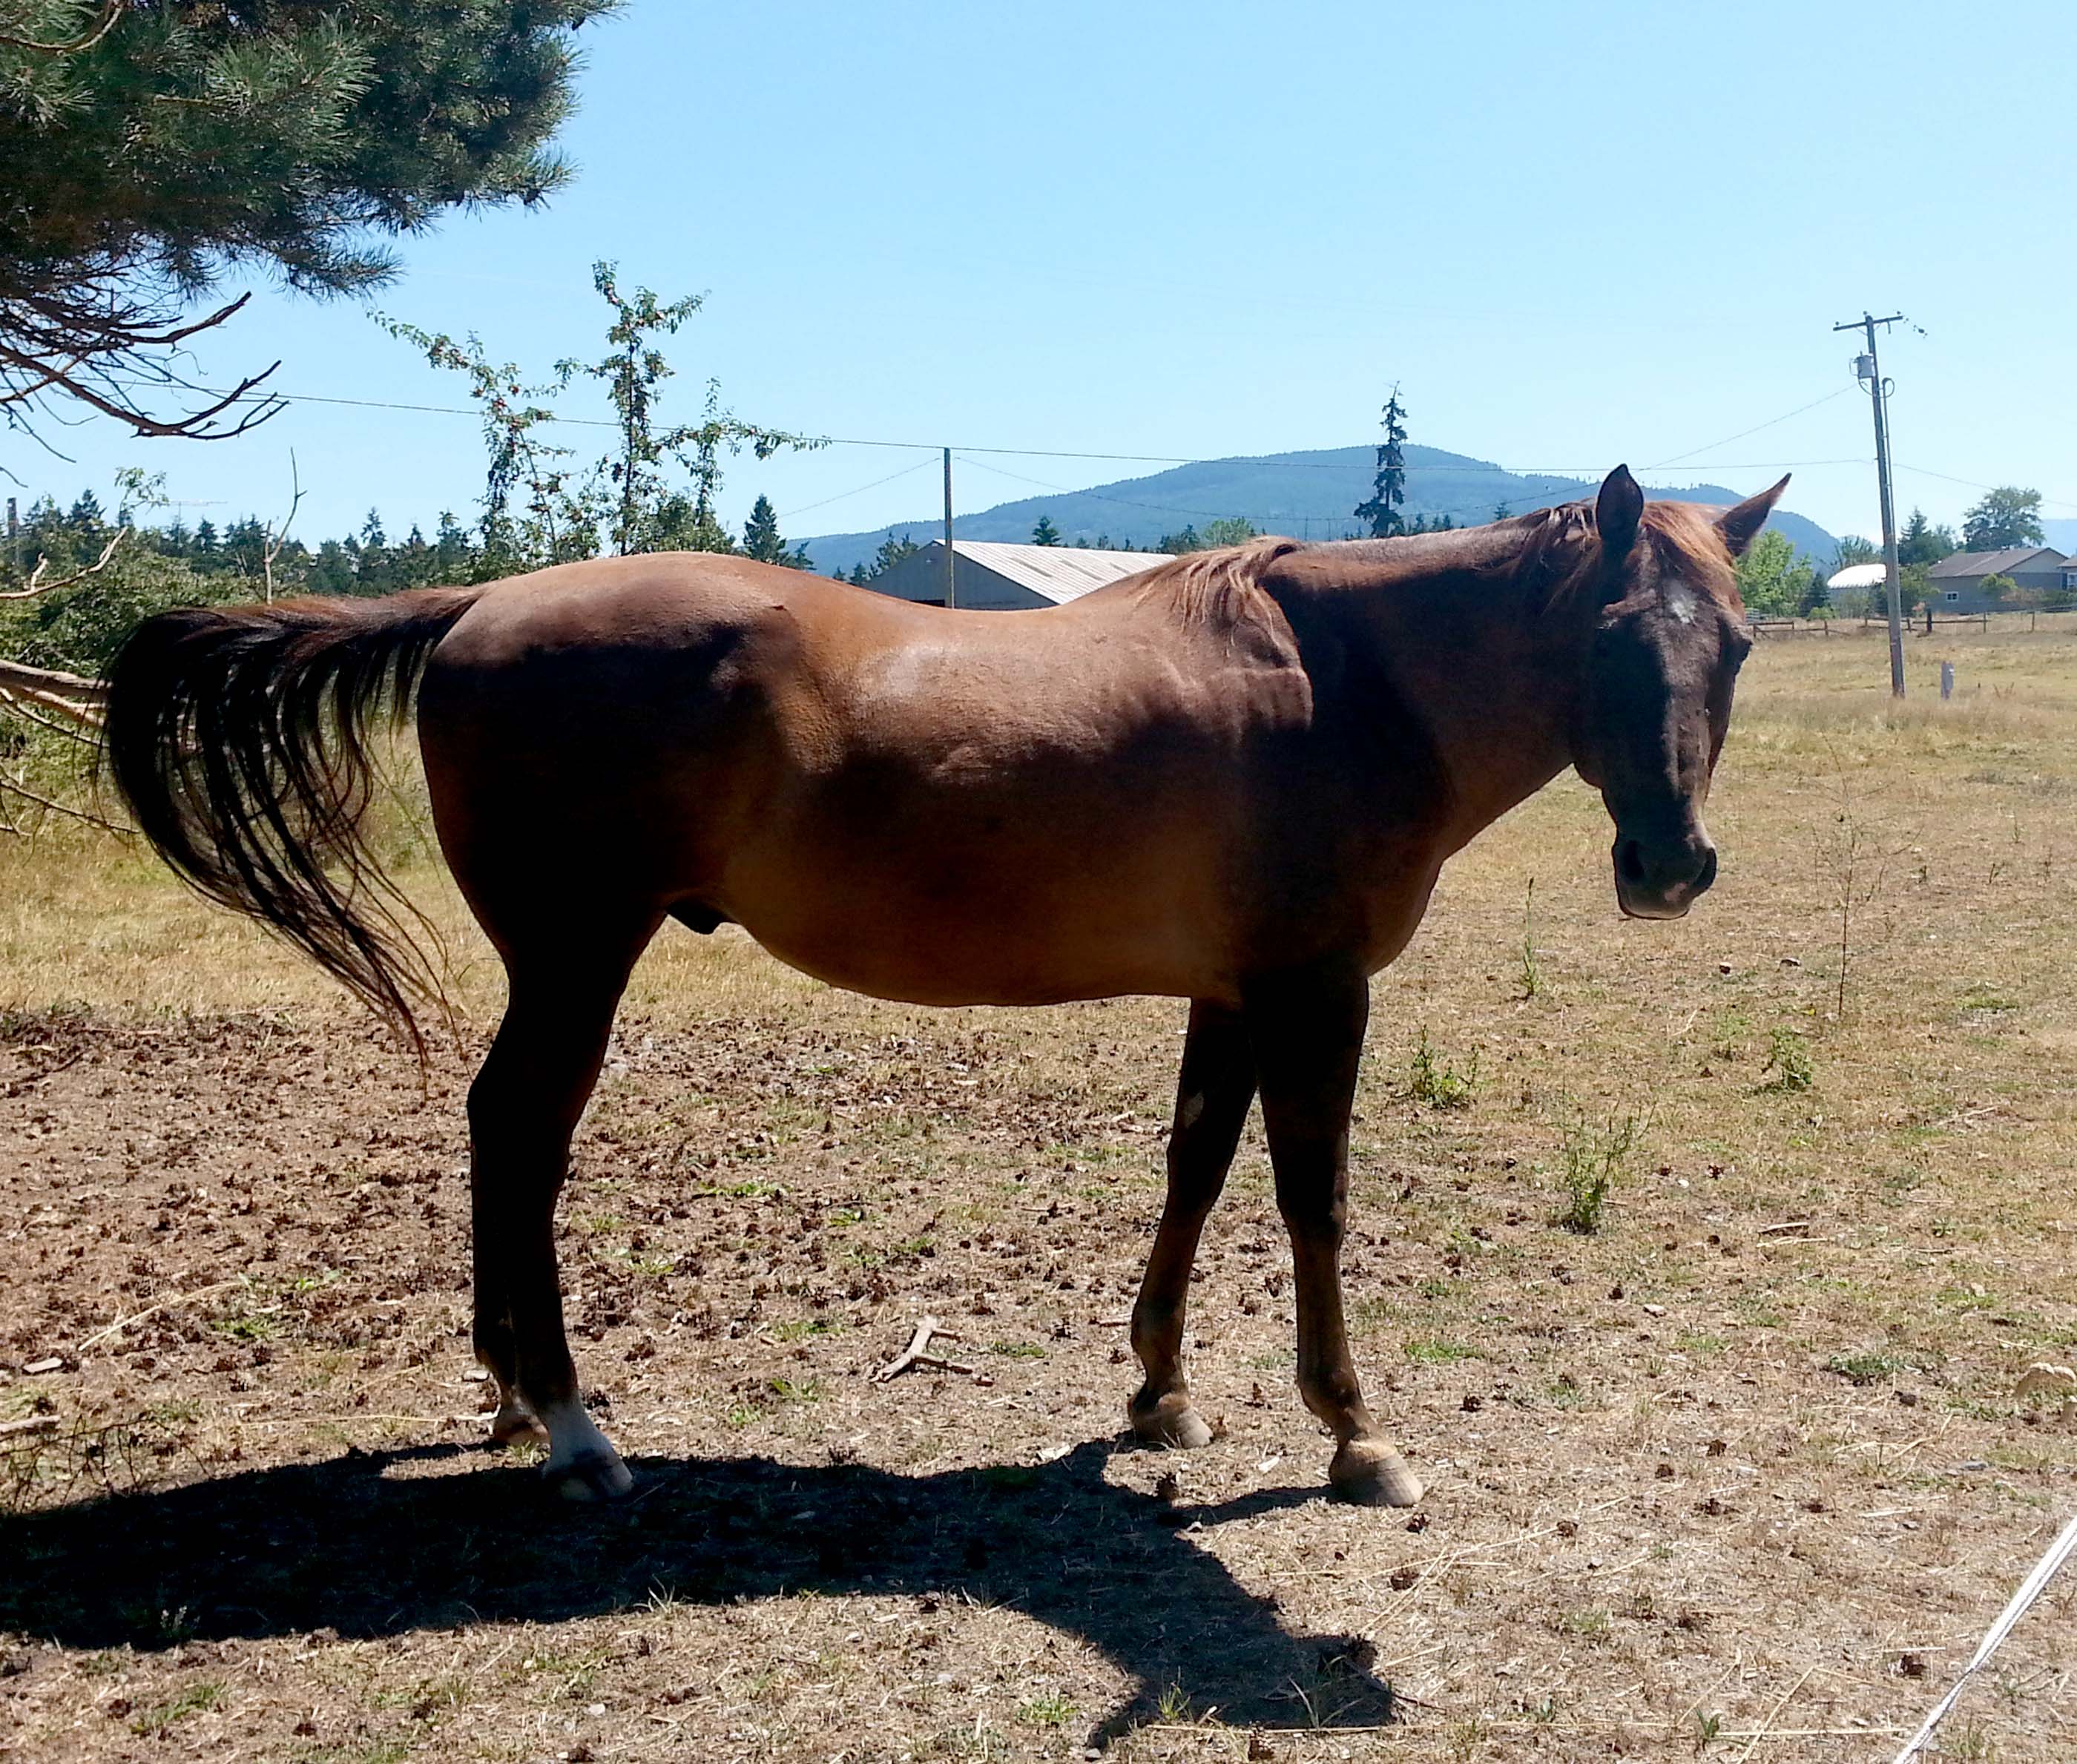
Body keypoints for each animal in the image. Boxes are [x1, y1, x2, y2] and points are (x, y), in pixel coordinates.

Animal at [102, 463, 1783, 1505]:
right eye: (1612, 635)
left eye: (1742, 639)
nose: (1670, 865)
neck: (1343, 681)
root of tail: (476, 605)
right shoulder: (1315, 992)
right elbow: (1314, 1198)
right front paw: (1354, 1435)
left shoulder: (1233, 990)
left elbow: (1191, 1165)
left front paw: (1158, 1393)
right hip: (578, 958)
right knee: (521, 1132)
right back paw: (574, 1428)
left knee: (490, 1127)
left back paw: (512, 1393)